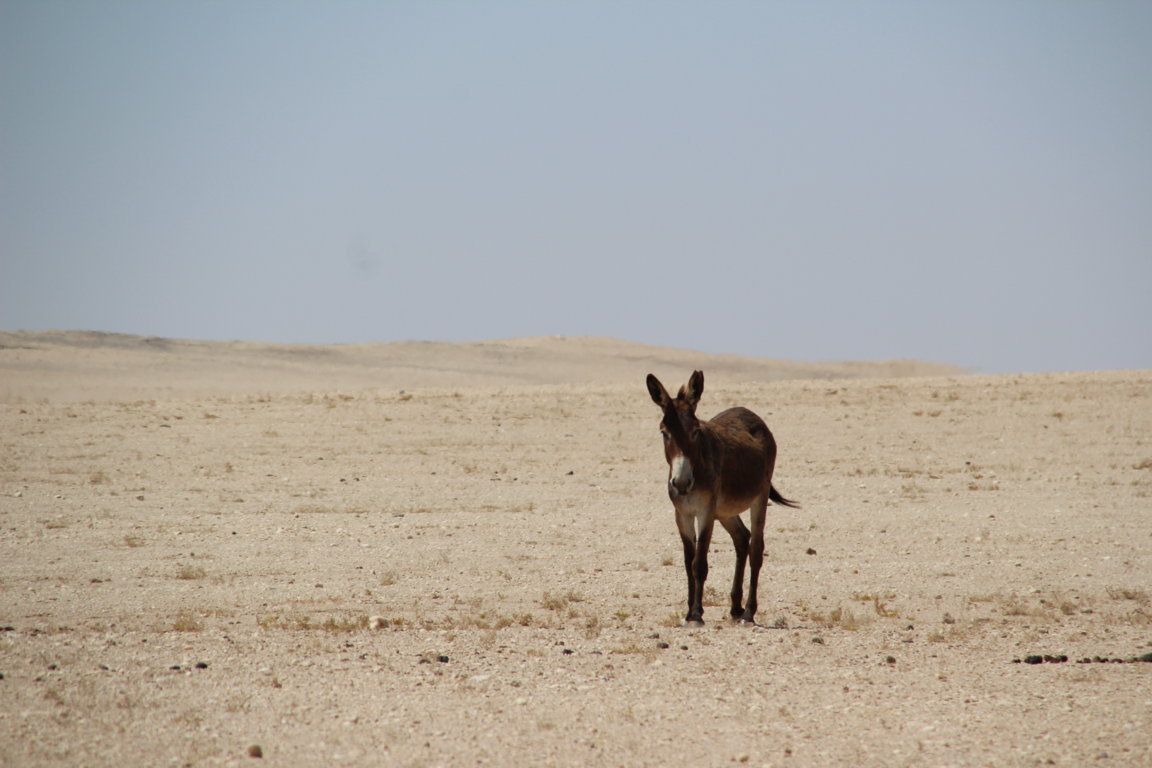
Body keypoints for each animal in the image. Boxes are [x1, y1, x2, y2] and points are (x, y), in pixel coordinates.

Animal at [647, 370, 799, 625]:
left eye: (695, 431)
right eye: (664, 433)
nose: (681, 483)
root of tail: (749, 412)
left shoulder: (706, 512)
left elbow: (699, 563)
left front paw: (697, 614)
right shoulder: (682, 514)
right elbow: (688, 562)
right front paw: (689, 612)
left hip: (759, 497)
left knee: (756, 548)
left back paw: (748, 612)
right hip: (726, 510)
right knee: (742, 538)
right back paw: (736, 607)